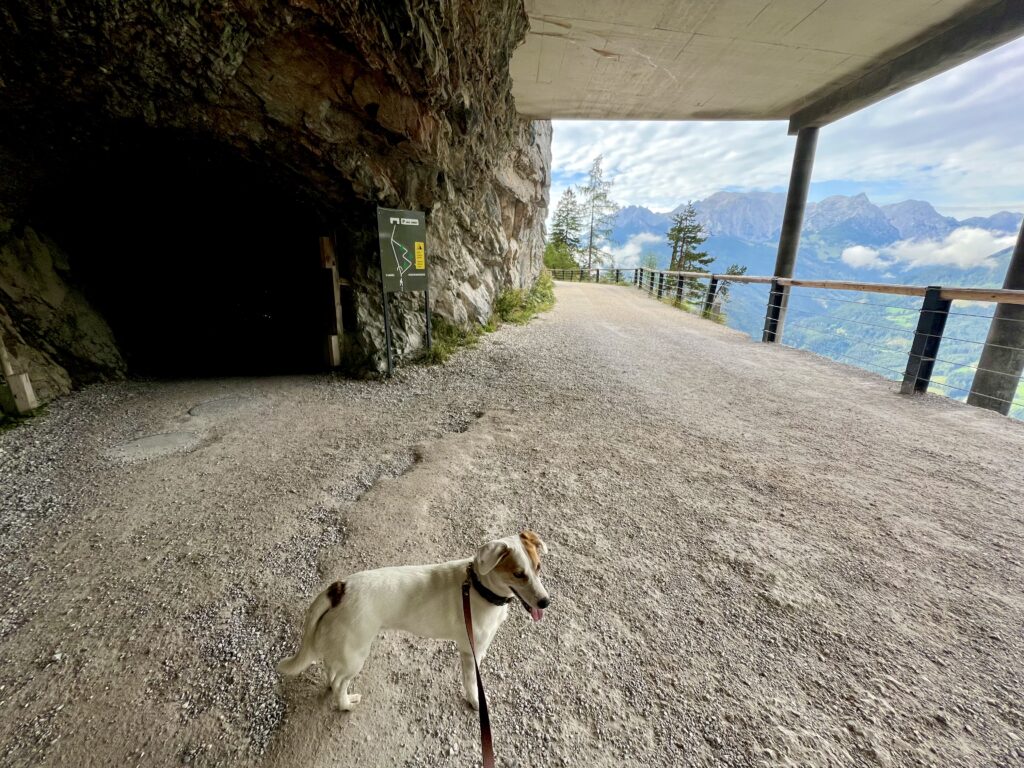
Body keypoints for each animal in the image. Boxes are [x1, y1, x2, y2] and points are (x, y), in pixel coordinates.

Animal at [276, 532, 548, 712]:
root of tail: (339, 588)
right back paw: (345, 704)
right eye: (519, 574)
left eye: (538, 567)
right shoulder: (471, 652)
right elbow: (472, 682)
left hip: (342, 650)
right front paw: (475, 701)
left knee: (331, 672)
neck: (478, 588)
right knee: (341, 682)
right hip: (355, 655)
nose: (546, 602)